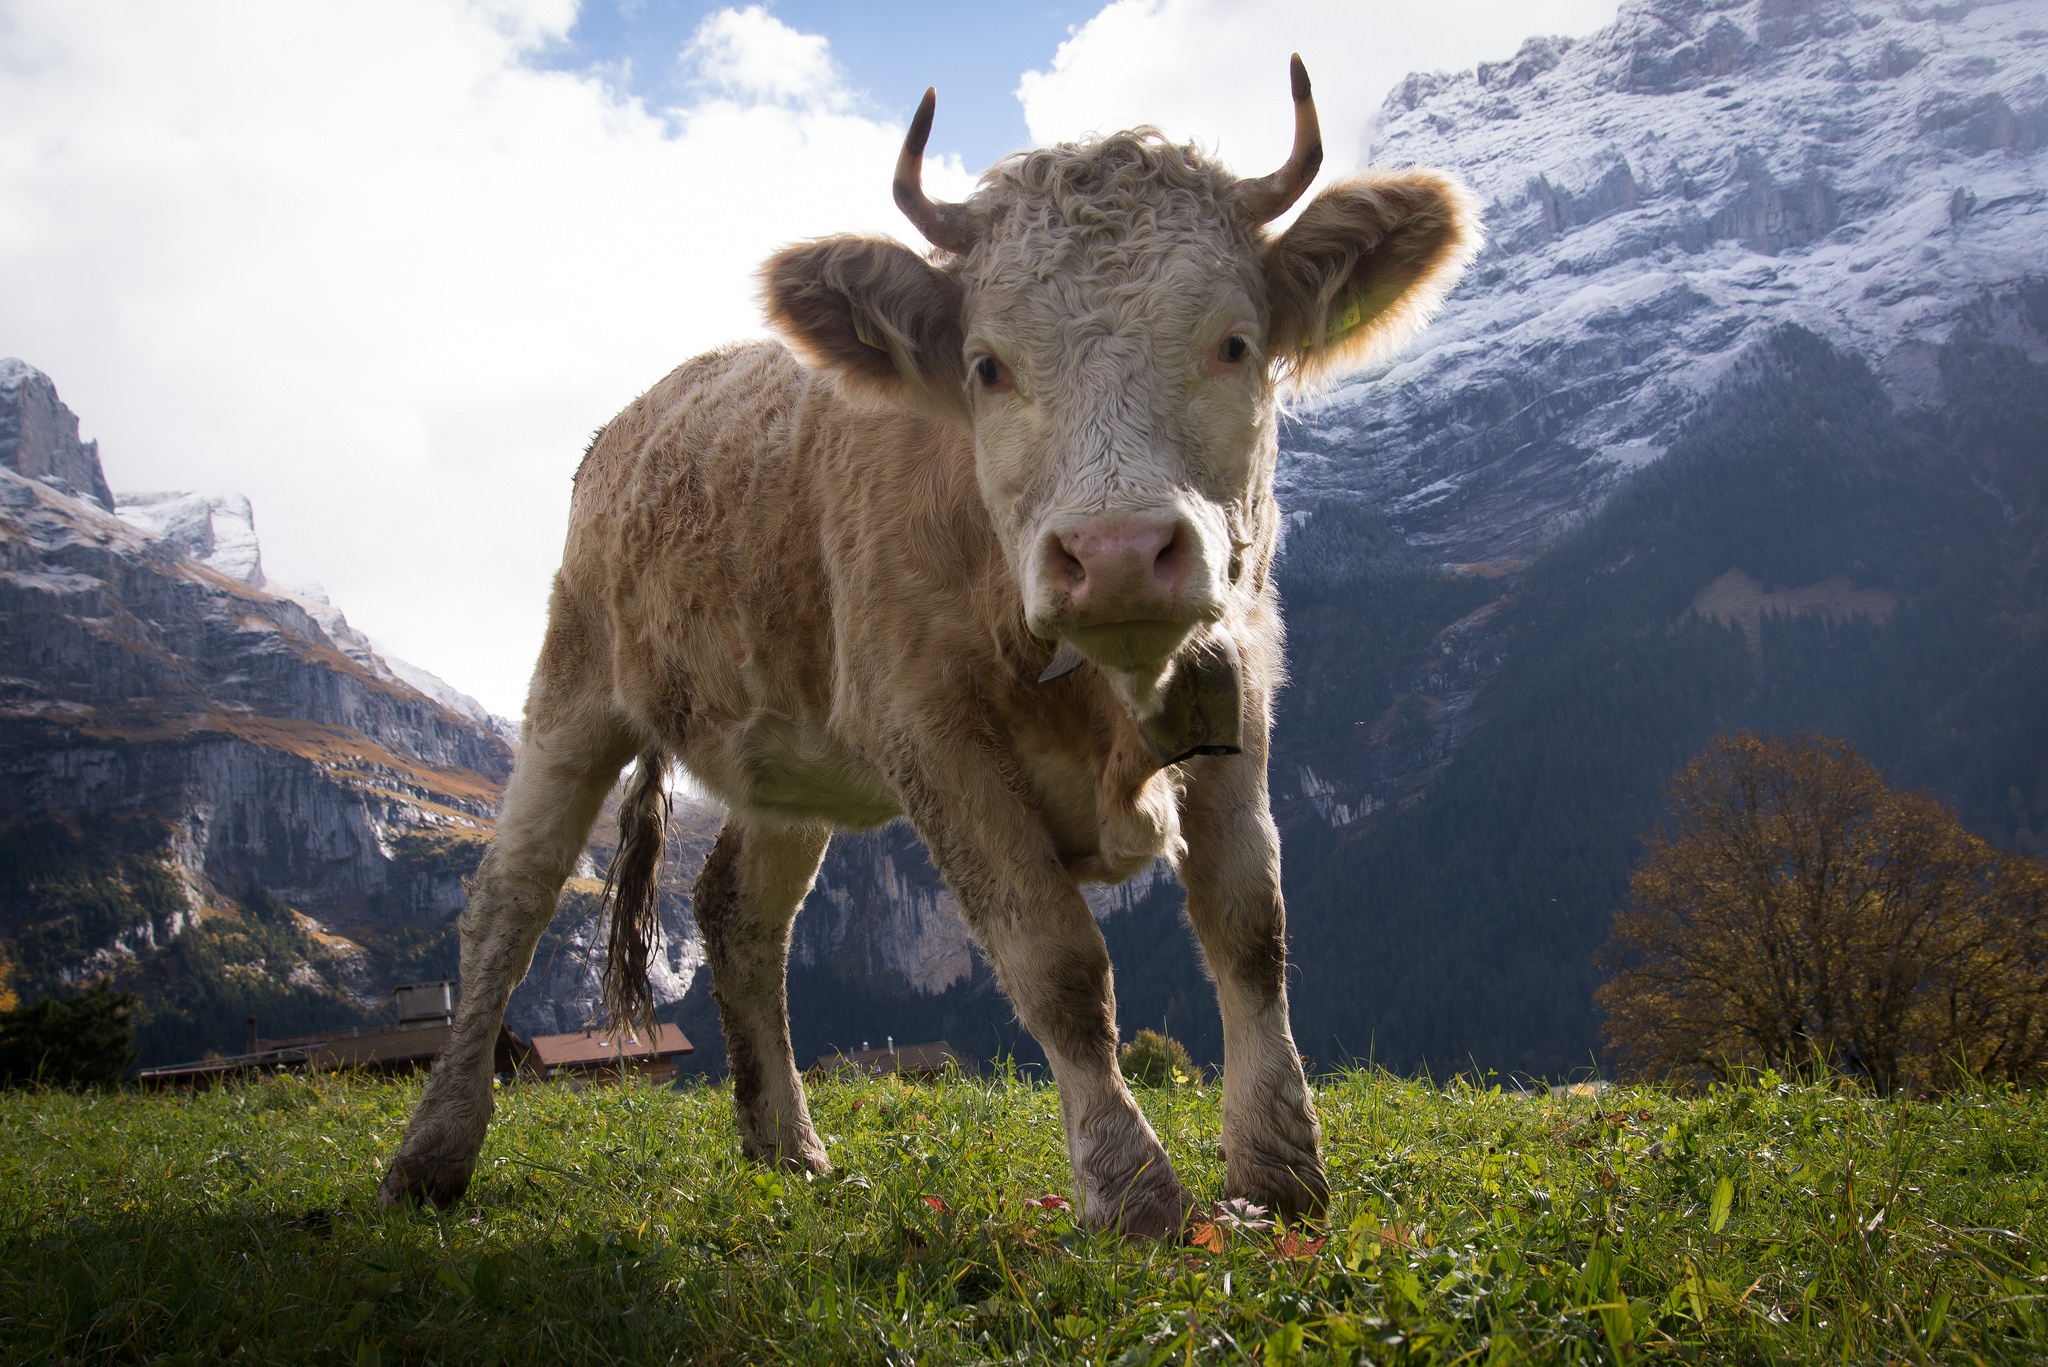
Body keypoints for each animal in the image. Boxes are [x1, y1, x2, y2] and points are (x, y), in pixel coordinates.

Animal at [380, 61, 1474, 1237]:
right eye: (986, 365)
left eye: (1234, 342)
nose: (1118, 553)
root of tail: (639, 413)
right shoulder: (929, 732)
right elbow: (1055, 961)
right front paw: (1130, 1187)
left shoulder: (1240, 689)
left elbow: (1250, 928)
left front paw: (1279, 1167)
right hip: (576, 680)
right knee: (509, 898)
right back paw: (432, 1151)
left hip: (787, 753)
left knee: (740, 911)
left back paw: (785, 1142)